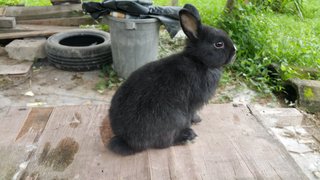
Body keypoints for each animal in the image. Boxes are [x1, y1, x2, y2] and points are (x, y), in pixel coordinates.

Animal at [107, 4, 235, 156]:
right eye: (218, 44)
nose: (235, 51)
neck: (199, 61)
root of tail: (127, 141)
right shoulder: (193, 103)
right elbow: (191, 114)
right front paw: (196, 120)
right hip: (175, 118)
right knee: (165, 143)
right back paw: (187, 136)